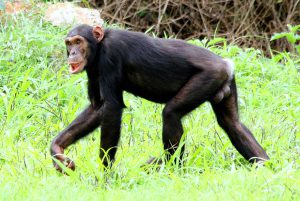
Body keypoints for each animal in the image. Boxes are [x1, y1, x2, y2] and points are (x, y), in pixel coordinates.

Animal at [50, 23, 268, 171]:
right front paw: (58, 150)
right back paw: (265, 165)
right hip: (225, 85)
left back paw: (171, 167)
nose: (73, 52)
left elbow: (111, 109)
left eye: (79, 41)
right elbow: (97, 108)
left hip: (210, 76)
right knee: (232, 124)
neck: (99, 47)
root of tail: (226, 63)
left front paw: (106, 175)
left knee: (171, 114)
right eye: (69, 43)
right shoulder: (93, 70)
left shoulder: (110, 56)